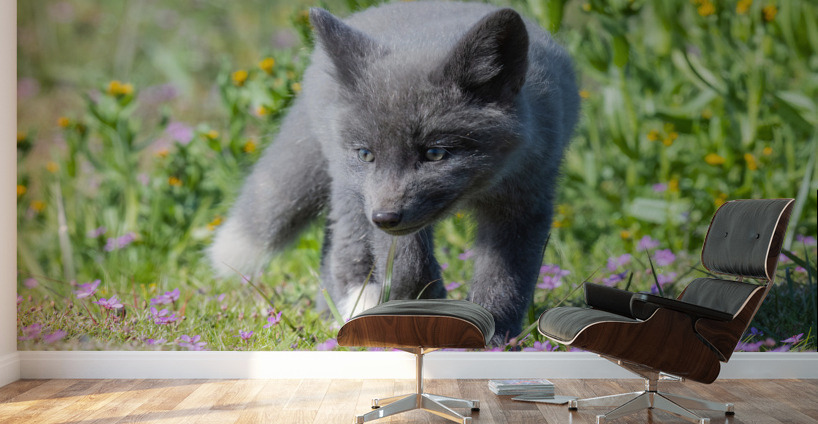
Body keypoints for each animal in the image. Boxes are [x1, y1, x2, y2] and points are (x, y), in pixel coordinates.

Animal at [210, 1, 580, 345]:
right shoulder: (380, 207)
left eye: (435, 153)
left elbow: (505, 281)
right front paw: (423, 310)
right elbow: (409, 264)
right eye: (366, 154)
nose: (384, 218)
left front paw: (495, 340)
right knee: (343, 249)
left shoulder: (524, 203)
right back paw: (354, 309)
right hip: (350, 189)